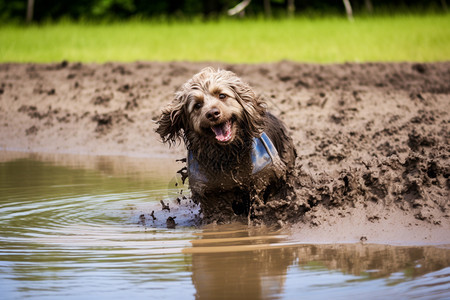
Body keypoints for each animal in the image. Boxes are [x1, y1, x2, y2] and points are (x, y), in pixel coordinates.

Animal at [156, 67, 298, 223]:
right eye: (197, 105)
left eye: (222, 95)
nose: (212, 114)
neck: (226, 154)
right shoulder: (209, 192)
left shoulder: (266, 177)